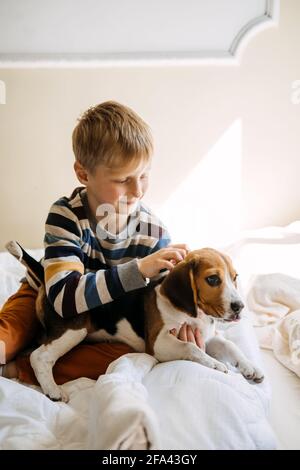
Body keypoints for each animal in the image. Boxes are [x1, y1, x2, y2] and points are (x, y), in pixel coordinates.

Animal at [7, 242, 264, 400]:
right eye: (212, 279)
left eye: (235, 278)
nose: (239, 307)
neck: (194, 314)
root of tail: (47, 278)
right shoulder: (159, 344)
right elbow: (190, 347)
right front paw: (214, 363)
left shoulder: (207, 336)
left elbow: (230, 345)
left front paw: (250, 367)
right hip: (73, 330)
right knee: (39, 356)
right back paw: (52, 389)